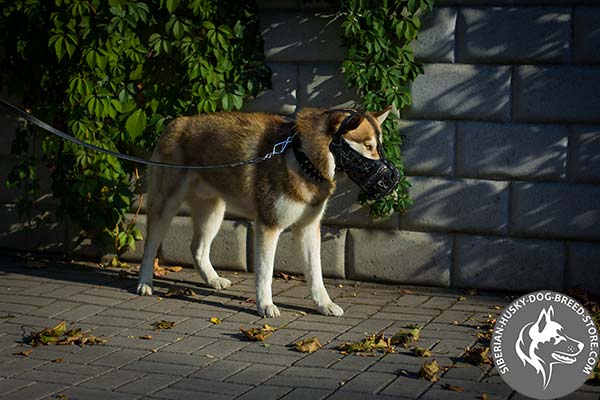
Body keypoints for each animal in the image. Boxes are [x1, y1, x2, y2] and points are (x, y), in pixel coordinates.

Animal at [138, 105, 396, 316]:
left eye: (379, 147)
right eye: (369, 146)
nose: (392, 179)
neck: (303, 158)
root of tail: (177, 121)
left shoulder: (309, 228)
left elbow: (316, 274)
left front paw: (324, 304)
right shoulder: (268, 226)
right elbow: (265, 272)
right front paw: (265, 305)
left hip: (213, 212)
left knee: (197, 248)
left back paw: (213, 279)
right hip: (165, 207)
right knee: (150, 247)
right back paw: (145, 283)